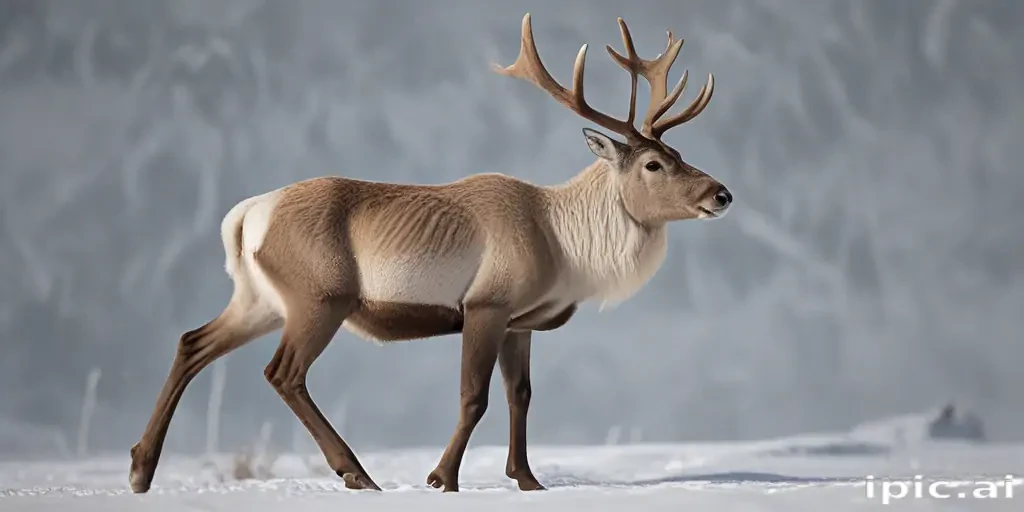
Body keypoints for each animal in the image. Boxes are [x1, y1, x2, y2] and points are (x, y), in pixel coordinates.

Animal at [128, 12, 729, 494]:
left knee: (192, 342)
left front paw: (528, 481)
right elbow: (474, 396)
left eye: (680, 152)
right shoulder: (486, 303)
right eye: (653, 163)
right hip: (320, 295)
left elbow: (521, 395)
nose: (721, 194)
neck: (567, 250)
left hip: (259, 298)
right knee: (283, 372)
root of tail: (247, 215)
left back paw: (140, 469)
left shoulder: (521, 321)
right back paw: (356, 473)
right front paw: (443, 478)